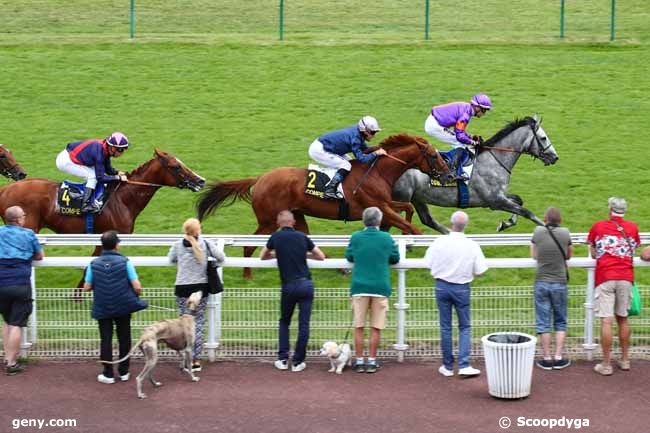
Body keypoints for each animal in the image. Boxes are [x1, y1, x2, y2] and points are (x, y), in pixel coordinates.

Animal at [197, 132, 450, 276]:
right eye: (433, 155)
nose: (448, 174)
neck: (377, 171)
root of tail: (259, 179)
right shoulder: (380, 206)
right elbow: (412, 225)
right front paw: (416, 243)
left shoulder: (386, 205)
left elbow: (408, 209)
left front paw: (407, 241)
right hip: (268, 220)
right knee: (249, 246)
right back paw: (248, 275)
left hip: (296, 216)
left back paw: (338, 267)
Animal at [390, 113, 556, 231]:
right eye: (543, 138)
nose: (555, 157)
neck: (493, 160)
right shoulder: (495, 201)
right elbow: (527, 212)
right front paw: (550, 229)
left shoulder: (499, 197)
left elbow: (519, 200)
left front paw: (505, 223)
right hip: (401, 198)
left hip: (417, 197)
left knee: (428, 220)